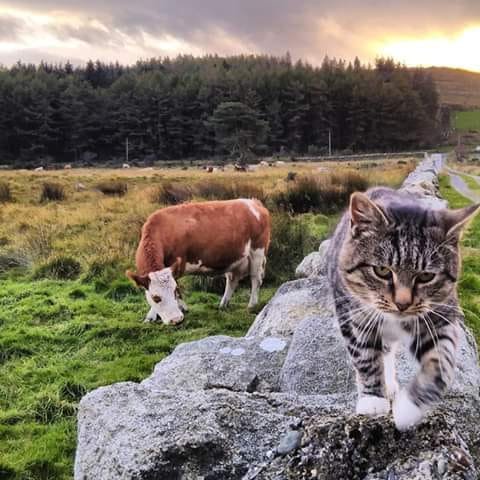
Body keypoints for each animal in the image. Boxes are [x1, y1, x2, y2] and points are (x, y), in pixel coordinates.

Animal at [126, 197, 270, 324]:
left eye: (173, 291)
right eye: (156, 298)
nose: (176, 320)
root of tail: (252, 202)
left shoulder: (177, 265)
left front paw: (176, 309)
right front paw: (152, 316)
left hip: (257, 252)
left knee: (255, 279)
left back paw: (251, 305)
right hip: (234, 258)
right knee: (232, 281)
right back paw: (223, 304)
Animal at [328, 186, 478, 430]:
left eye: (426, 276)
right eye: (381, 270)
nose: (402, 303)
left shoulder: (439, 316)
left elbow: (441, 363)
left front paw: (408, 408)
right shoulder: (353, 315)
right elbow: (365, 356)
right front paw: (373, 398)